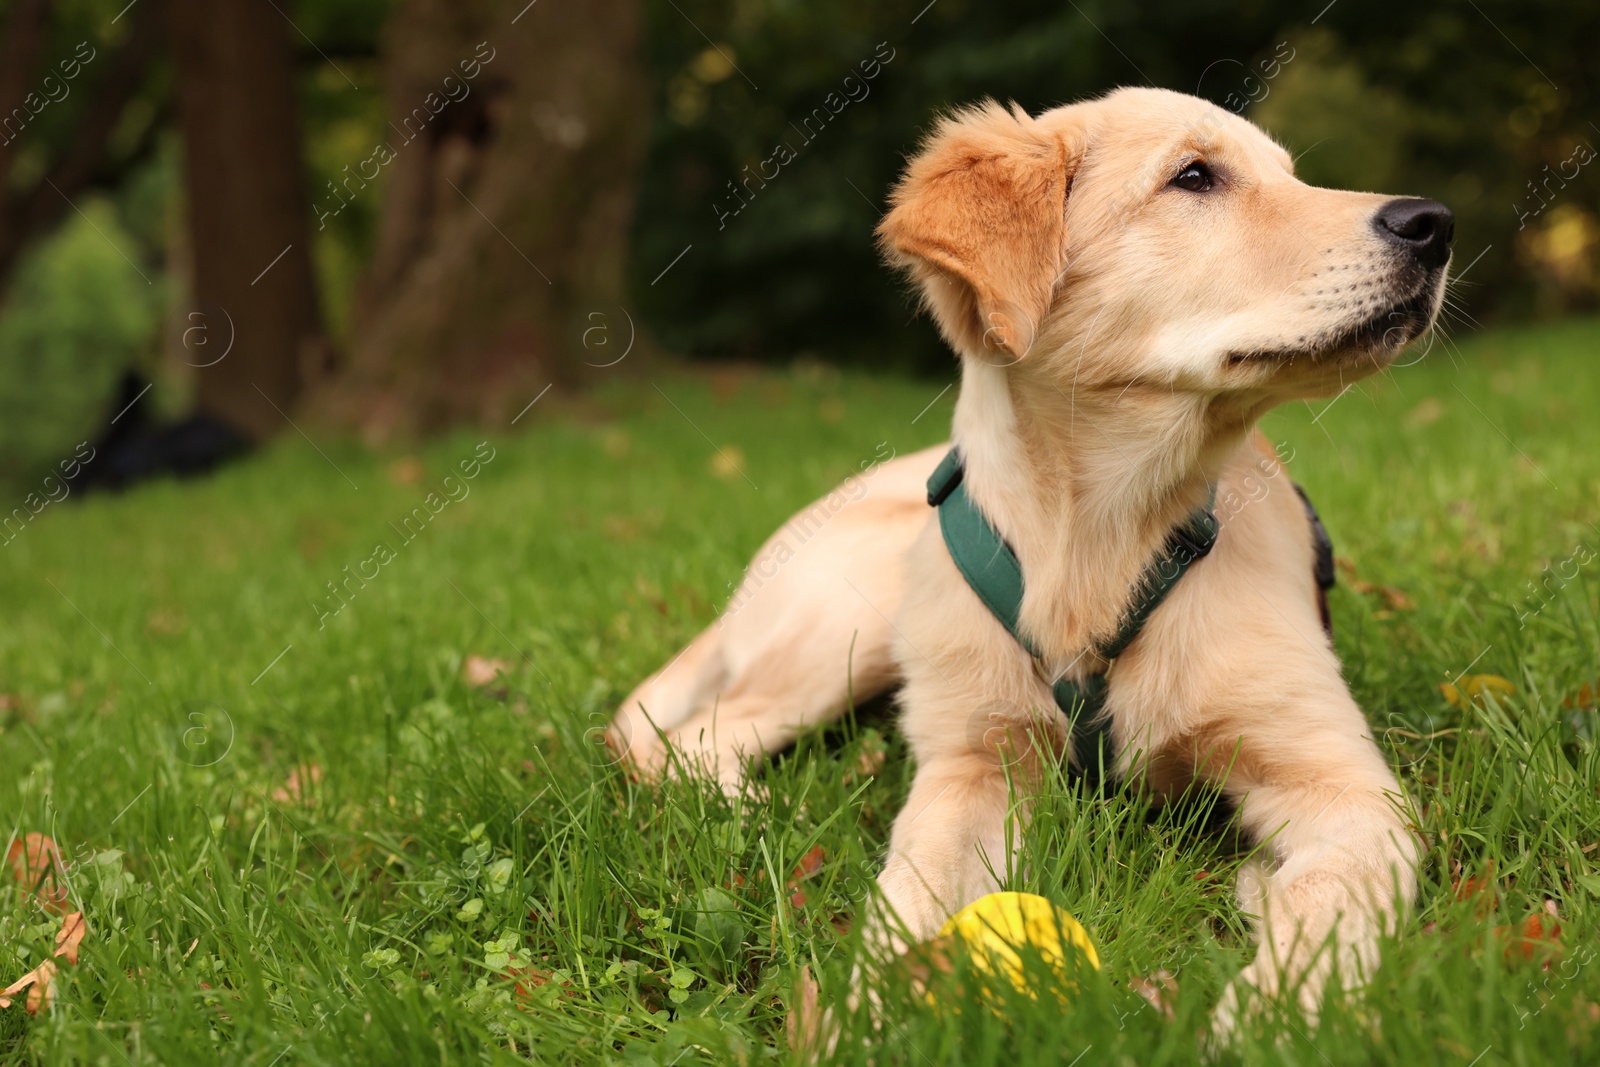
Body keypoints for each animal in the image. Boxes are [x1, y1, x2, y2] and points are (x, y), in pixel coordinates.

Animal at [608, 89, 1452, 1023]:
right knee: (685, 735)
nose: (1434, 223)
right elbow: (905, 898)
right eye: (1194, 176)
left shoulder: (1343, 781)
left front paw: (1275, 1010)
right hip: (854, 618)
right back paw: (762, 810)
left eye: (1291, 175)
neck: (1101, 537)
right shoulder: (973, 763)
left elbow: (1327, 896)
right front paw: (860, 1016)